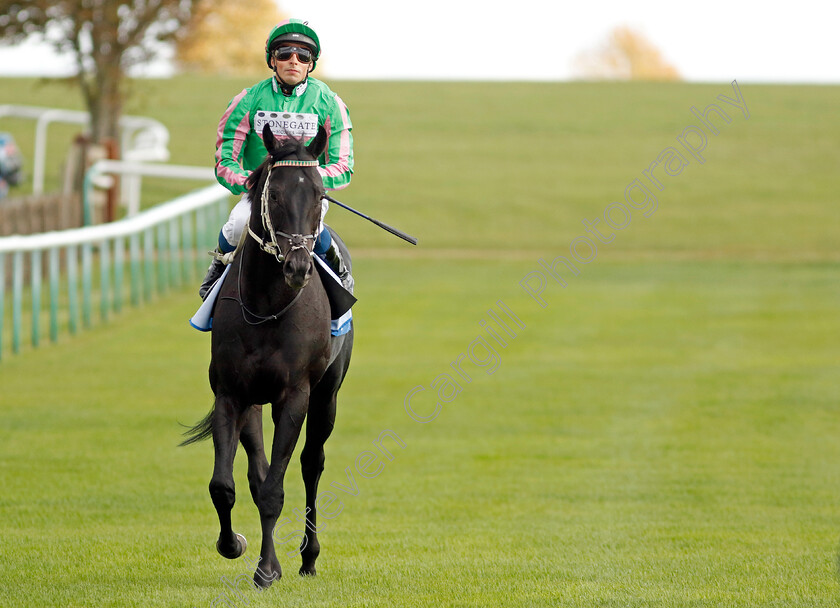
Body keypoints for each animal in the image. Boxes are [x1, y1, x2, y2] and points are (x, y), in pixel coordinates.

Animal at [182, 124, 352, 588]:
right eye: (273, 194)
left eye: (319, 193)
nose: (297, 266)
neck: (266, 306)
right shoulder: (232, 394)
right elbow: (227, 486)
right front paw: (235, 545)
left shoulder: (294, 395)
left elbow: (276, 488)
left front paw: (266, 569)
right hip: (255, 403)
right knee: (258, 474)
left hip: (327, 395)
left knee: (312, 463)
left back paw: (308, 556)